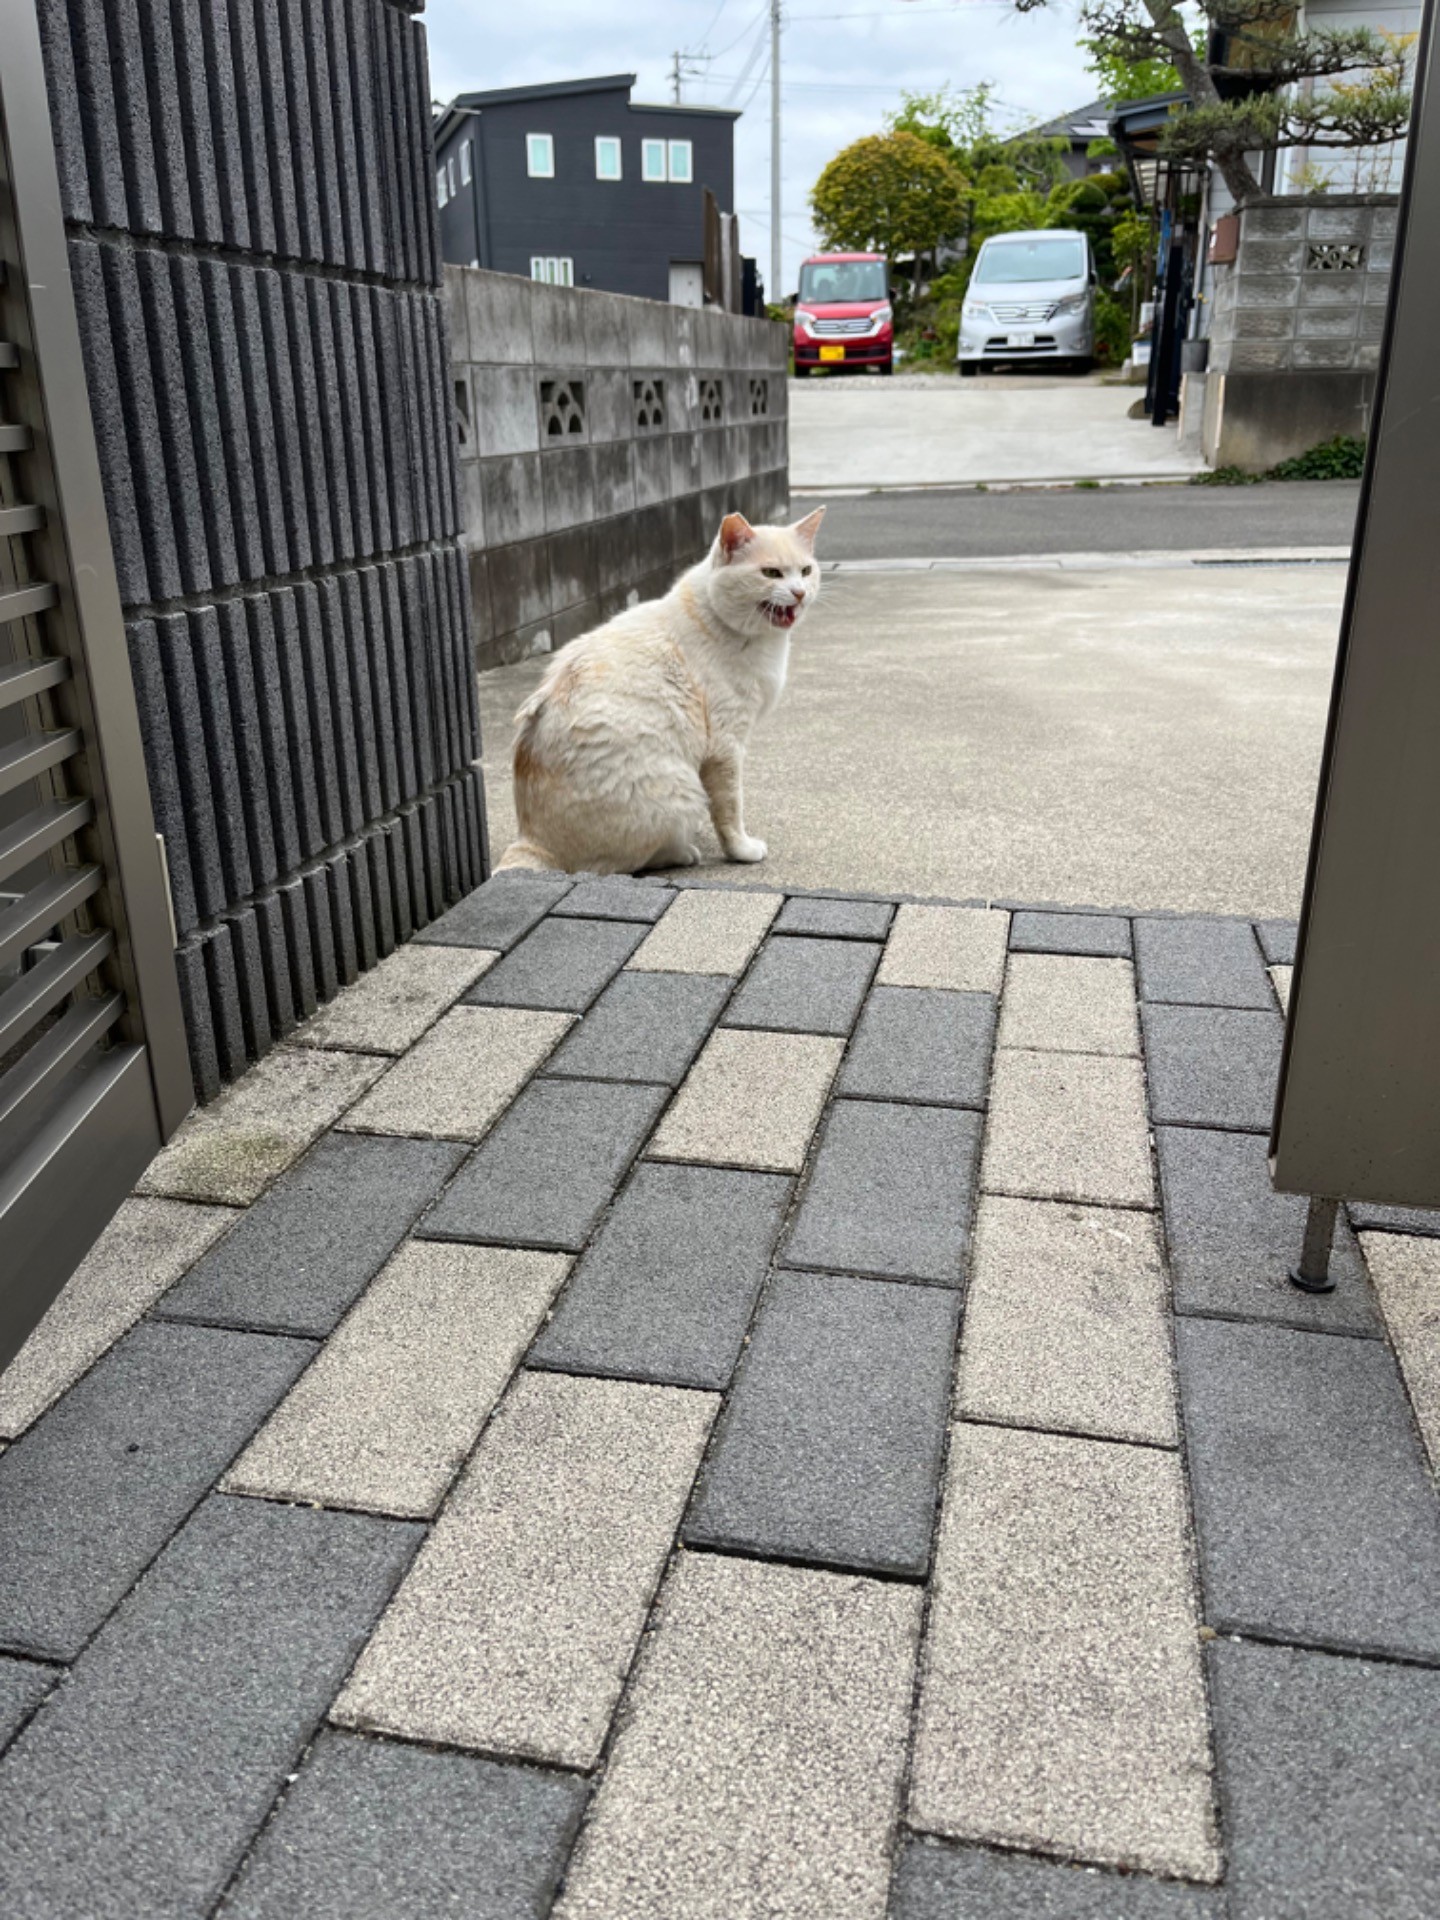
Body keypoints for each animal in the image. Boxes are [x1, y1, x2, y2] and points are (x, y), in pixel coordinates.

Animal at [503, 506, 829, 875]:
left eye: (806, 571)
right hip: (677, 791)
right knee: (612, 864)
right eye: (771, 573)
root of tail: (532, 841)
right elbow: (730, 808)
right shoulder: (726, 745)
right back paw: (682, 852)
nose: (800, 592)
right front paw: (741, 850)